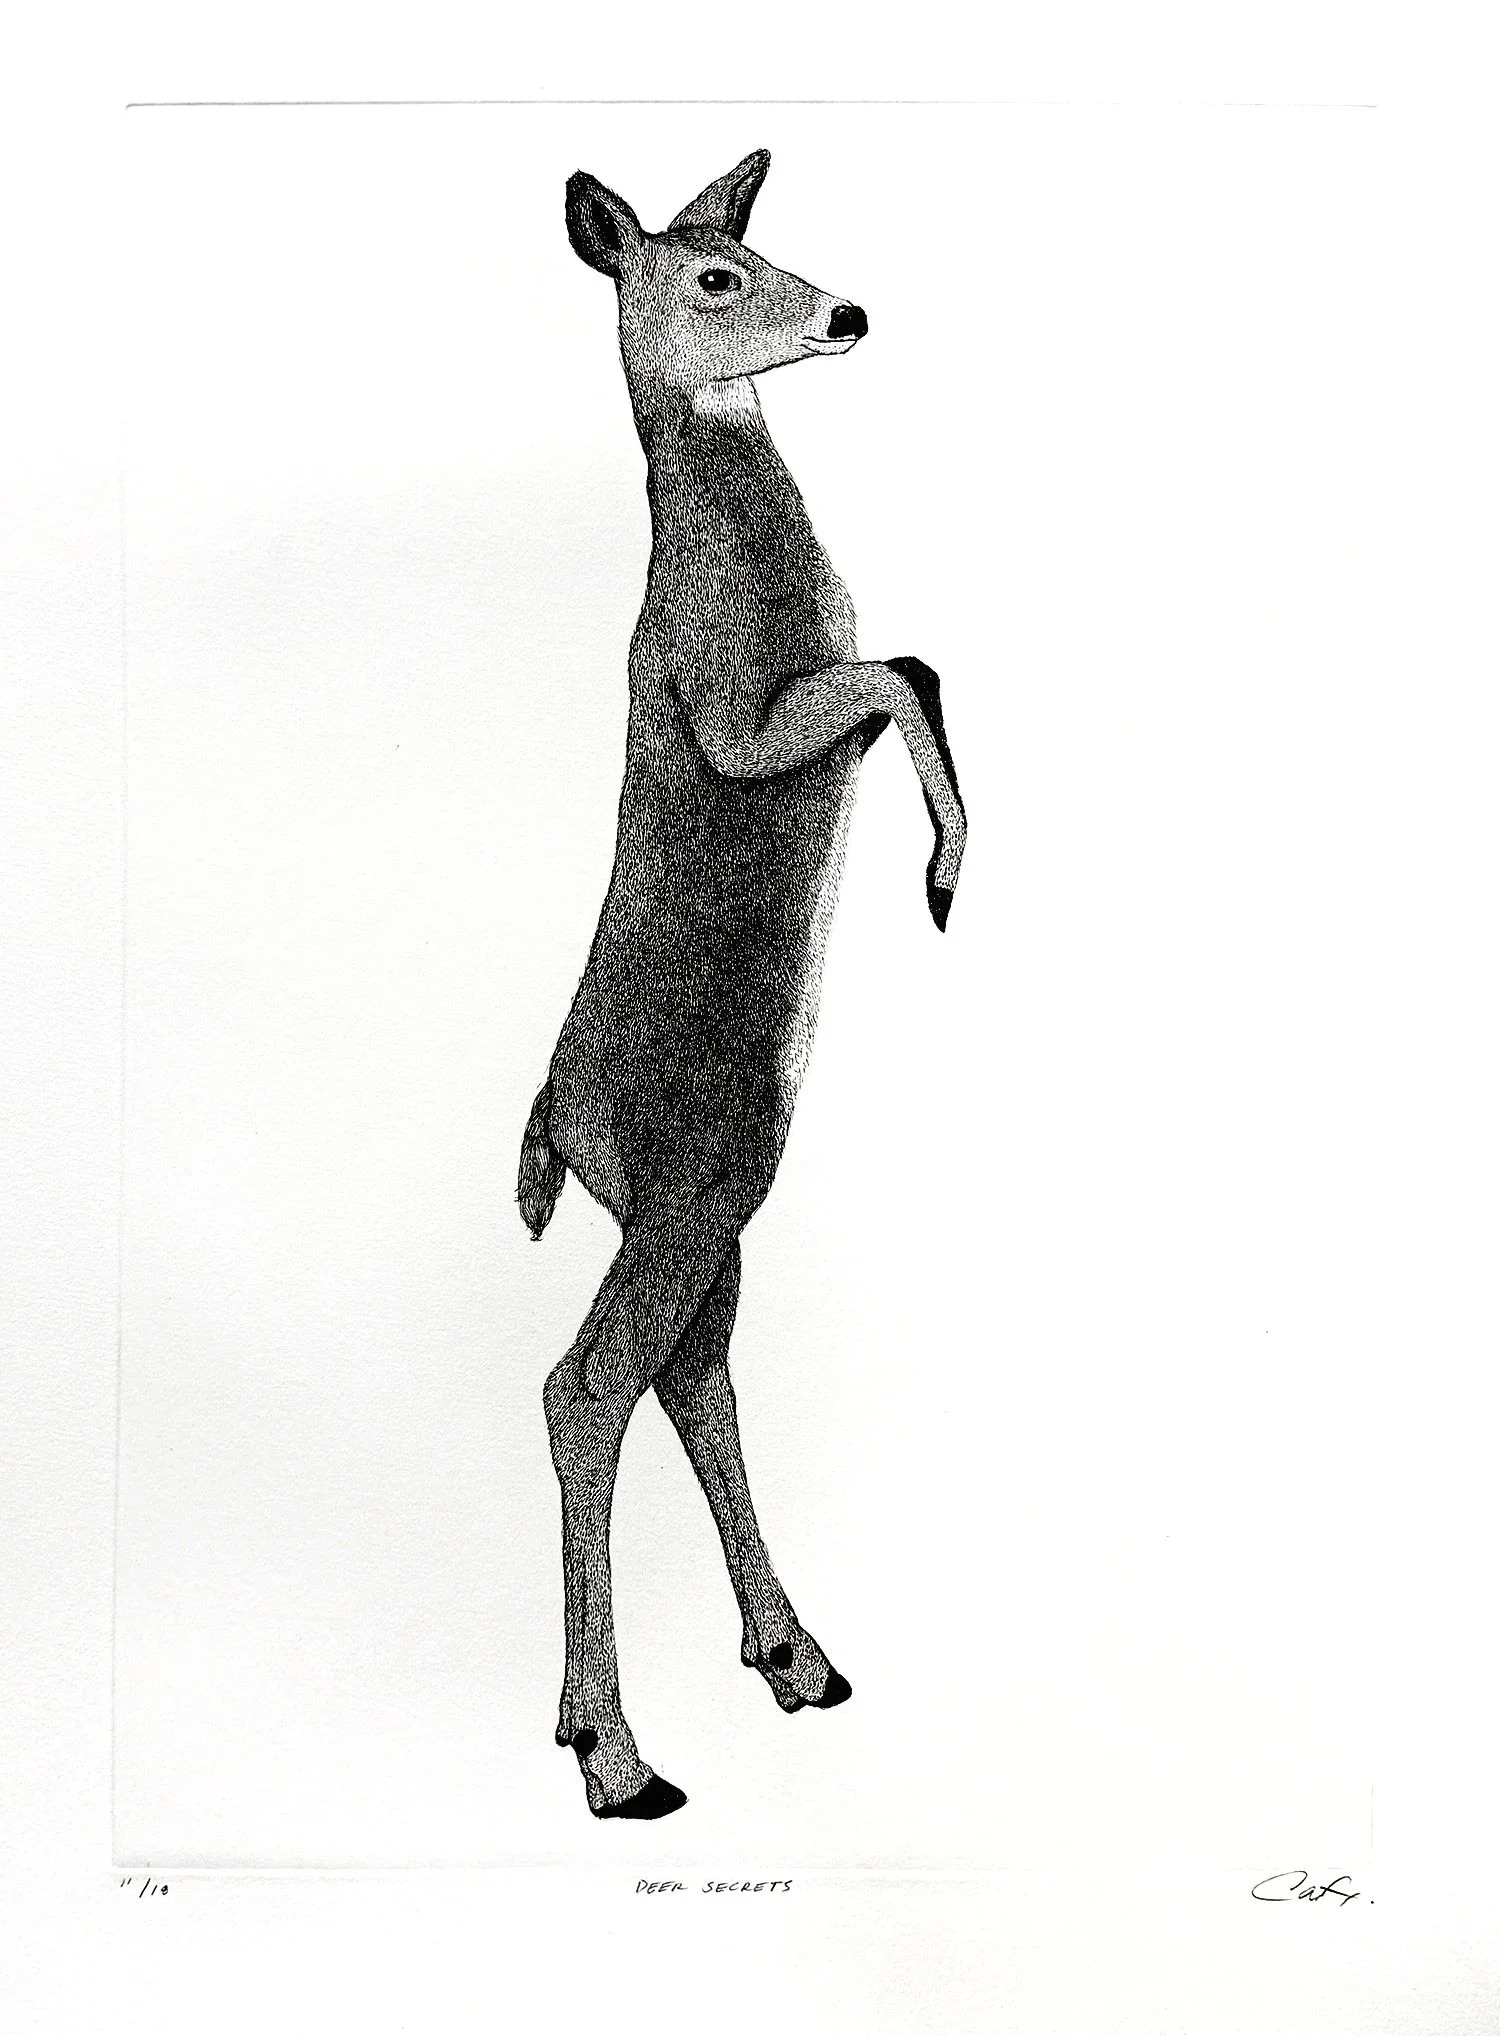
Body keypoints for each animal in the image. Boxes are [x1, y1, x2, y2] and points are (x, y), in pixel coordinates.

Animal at [518, 148, 966, 1820]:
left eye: (757, 241)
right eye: (713, 275)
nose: (849, 312)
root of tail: (557, 1127)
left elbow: (906, 666)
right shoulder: (739, 712)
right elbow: (903, 666)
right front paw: (946, 875)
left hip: (716, 1197)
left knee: (689, 1376)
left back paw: (797, 1659)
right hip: (692, 1186)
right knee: (586, 1385)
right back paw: (615, 1754)